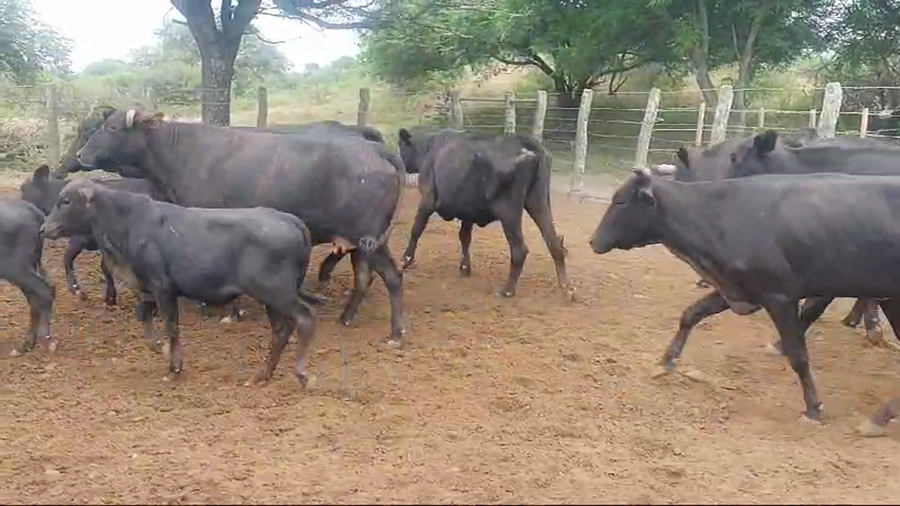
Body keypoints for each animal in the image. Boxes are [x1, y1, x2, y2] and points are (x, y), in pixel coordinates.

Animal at [40, 179, 317, 385]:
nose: (44, 228)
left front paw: (174, 367)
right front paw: (159, 349)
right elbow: (146, 321)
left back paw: (300, 373)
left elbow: (171, 326)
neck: (129, 224)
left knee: (304, 319)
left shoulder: (163, 288)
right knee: (281, 331)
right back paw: (262, 375)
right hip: (271, 298)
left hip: (276, 292)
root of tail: (292, 220)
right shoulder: (147, 290)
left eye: (65, 201)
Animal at [72, 107, 405, 345]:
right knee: (364, 277)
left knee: (391, 276)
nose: (80, 154)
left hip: (370, 237)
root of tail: (375, 149)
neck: (184, 153)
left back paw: (396, 333)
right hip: (359, 241)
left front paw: (224, 310)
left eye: (112, 128)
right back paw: (346, 318)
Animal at [397, 127, 573, 300]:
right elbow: (465, 237)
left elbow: (416, 229)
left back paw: (508, 290)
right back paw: (566, 288)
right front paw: (465, 267)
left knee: (519, 249)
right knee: (554, 243)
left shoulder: (428, 200)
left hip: (509, 212)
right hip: (539, 203)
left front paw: (406, 260)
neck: (429, 147)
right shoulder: (467, 211)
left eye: (401, 146)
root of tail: (526, 143)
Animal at [589, 168, 900, 423]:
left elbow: (798, 355)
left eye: (620, 201)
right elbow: (691, 314)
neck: (720, 215)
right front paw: (667, 360)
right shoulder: (736, 289)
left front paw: (814, 407)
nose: (593, 241)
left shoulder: (779, 296)